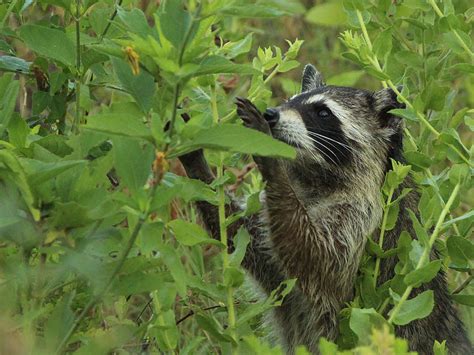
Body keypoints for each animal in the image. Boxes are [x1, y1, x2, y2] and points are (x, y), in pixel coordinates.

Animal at [177, 65, 470, 354]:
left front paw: (274, 166)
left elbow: (315, 256)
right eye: (290, 101)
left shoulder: (364, 216)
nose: (270, 114)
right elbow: (253, 247)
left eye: (322, 112)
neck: (314, 179)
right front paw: (196, 160)